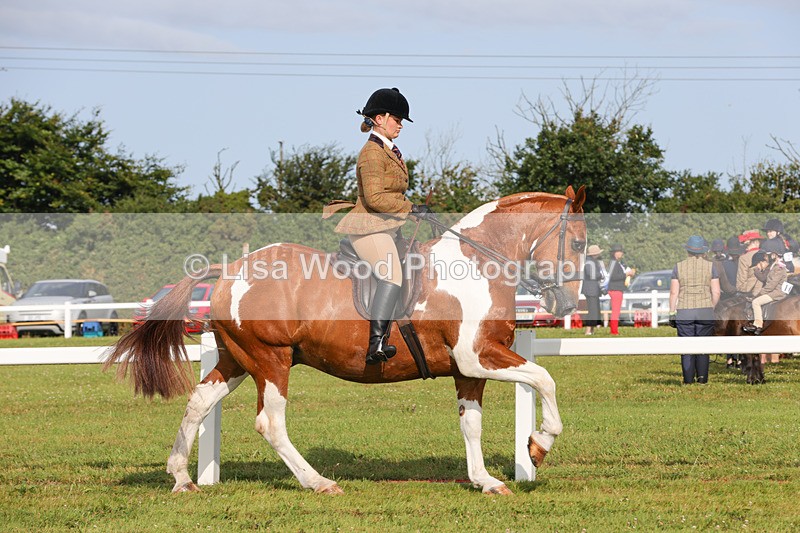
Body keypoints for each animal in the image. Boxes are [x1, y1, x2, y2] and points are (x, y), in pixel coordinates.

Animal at [104, 186, 588, 496]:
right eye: (581, 244)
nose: (566, 303)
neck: (477, 263)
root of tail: (229, 270)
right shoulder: (478, 357)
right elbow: (544, 379)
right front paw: (538, 446)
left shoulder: (468, 368)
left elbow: (471, 423)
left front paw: (485, 480)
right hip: (271, 360)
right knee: (270, 422)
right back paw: (318, 482)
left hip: (239, 360)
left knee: (199, 403)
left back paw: (181, 478)